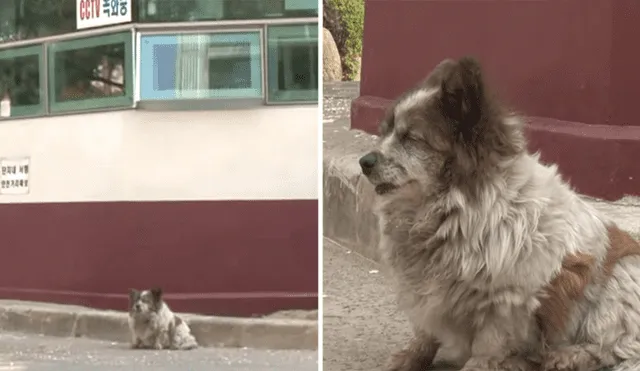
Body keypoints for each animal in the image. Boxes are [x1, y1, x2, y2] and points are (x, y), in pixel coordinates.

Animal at [358, 56, 640, 371]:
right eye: (386, 132)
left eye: (410, 138)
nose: (364, 162)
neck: (453, 210)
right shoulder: (426, 291)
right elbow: (424, 332)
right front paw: (411, 356)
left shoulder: (505, 305)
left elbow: (486, 349)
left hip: (620, 279)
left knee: (618, 348)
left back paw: (569, 356)